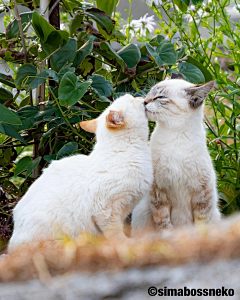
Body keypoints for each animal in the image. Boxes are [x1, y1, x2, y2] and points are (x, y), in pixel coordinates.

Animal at [131, 78, 221, 234]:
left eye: (160, 97)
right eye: (149, 93)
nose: (144, 102)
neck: (174, 134)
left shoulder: (202, 196)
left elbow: (201, 224)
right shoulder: (159, 193)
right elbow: (163, 222)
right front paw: (169, 236)